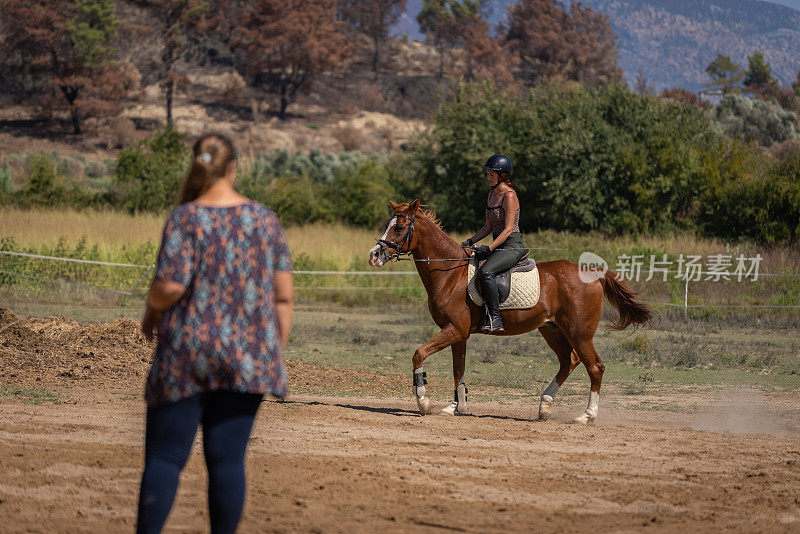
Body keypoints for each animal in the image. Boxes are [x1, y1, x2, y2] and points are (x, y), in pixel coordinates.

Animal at [372, 199, 652, 426]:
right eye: (388, 224)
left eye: (399, 228)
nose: (374, 255)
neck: (451, 273)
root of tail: (593, 272)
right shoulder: (459, 334)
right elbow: (458, 369)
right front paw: (454, 407)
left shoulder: (455, 330)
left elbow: (419, 354)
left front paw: (423, 401)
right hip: (552, 330)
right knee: (568, 361)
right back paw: (544, 406)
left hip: (579, 333)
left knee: (595, 366)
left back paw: (586, 415)